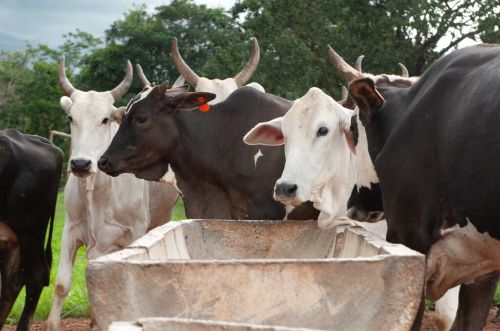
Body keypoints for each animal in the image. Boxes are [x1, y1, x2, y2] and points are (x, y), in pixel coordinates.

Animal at [44, 58, 178, 330]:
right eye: (71, 118)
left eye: (105, 119)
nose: (80, 164)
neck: (97, 191)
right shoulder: (71, 229)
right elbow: (62, 284)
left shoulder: (135, 231)